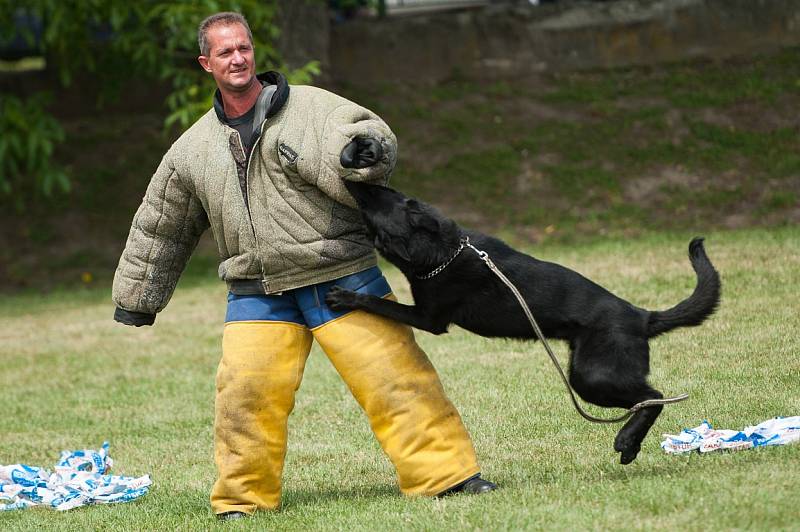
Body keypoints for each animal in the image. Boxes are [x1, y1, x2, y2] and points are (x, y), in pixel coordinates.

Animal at [328, 181, 720, 464]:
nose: (353, 178)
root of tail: (642, 315)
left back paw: (627, 441)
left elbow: (379, 303)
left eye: (378, 196)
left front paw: (346, 298)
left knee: (654, 397)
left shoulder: (429, 317)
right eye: (392, 192)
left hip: (592, 377)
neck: (443, 249)